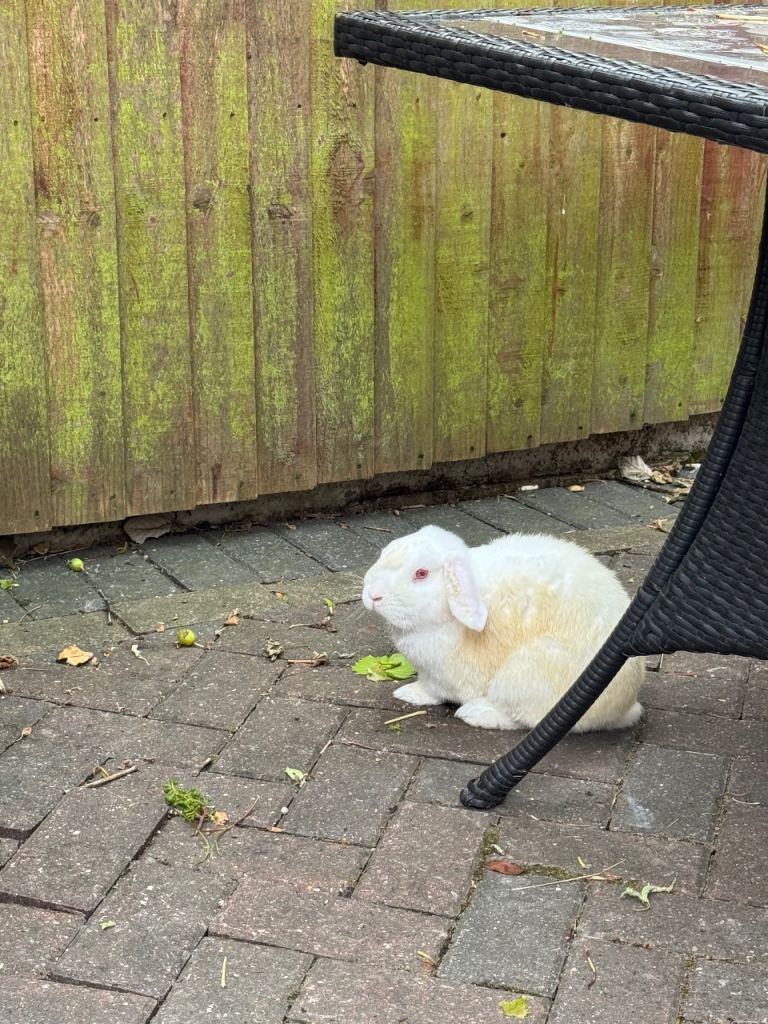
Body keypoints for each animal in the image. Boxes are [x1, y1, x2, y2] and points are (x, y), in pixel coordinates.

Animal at [361, 524, 644, 731]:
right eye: (384, 553)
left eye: (421, 574)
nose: (373, 595)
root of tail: (626, 706)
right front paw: (409, 693)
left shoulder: (444, 677)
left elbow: (437, 691)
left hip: (524, 675)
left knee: (523, 719)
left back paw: (476, 713)